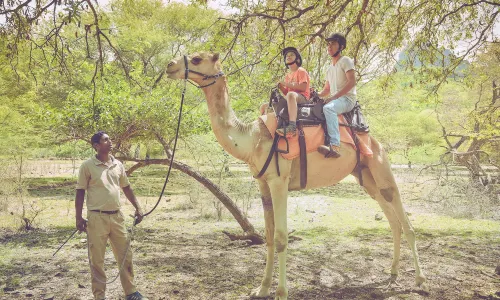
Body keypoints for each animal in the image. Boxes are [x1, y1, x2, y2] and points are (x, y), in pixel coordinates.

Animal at [166, 52, 428, 298]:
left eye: (197, 58)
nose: (170, 65)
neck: (252, 138)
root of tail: (375, 140)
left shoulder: (279, 181)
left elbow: (282, 238)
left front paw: (281, 293)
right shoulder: (263, 183)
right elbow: (269, 236)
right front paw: (261, 289)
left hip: (380, 166)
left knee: (406, 223)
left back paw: (420, 281)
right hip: (366, 177)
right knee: (393, 222)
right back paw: (392, 275)